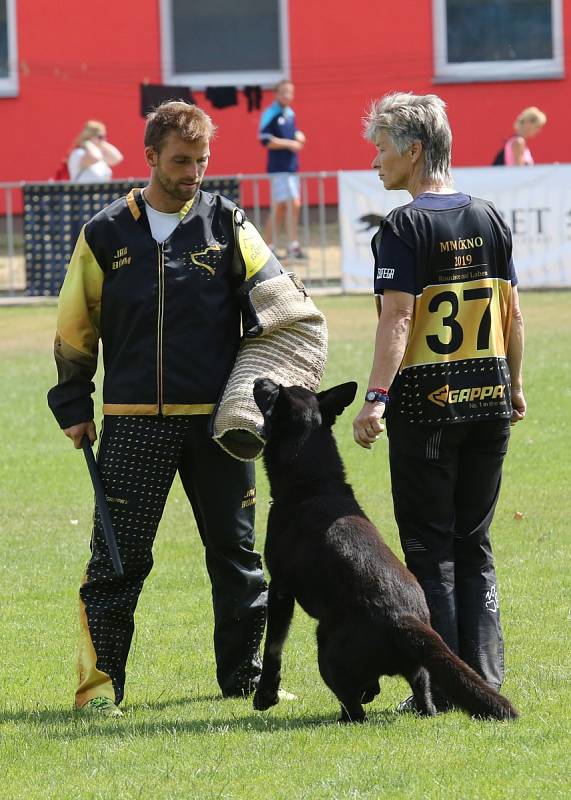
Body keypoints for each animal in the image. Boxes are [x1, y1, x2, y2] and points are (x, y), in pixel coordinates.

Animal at [251, 378, 520, 720]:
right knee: (422, 697)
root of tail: (404, 620)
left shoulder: (280, 588)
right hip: (417, 673)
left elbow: (273, 645)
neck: (313, 484)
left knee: (355, 711)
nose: (259, 380)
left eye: (273, 392)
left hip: (327, 645)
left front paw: (265, 695)